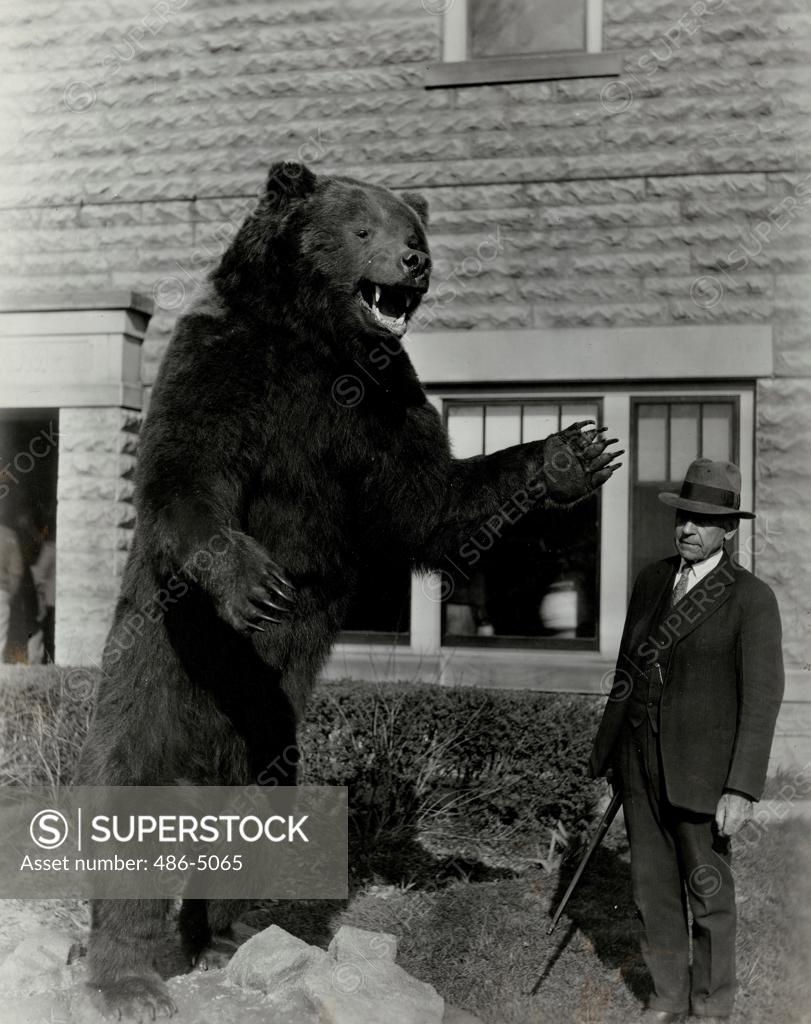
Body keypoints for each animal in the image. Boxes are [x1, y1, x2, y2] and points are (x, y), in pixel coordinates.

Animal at [75, 161, 622, 1015]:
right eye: (364, 228)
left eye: (413, 229)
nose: (414, 261)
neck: (317, 342)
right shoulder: (225, 365)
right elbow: (186, 471)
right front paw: (258, 583)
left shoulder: (380, 402)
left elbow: (431, 501)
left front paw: (571, 452)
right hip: (162, 677)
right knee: (130, 792)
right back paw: (128, 980)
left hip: (271, 740)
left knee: (252, 819)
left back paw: (224, 938)